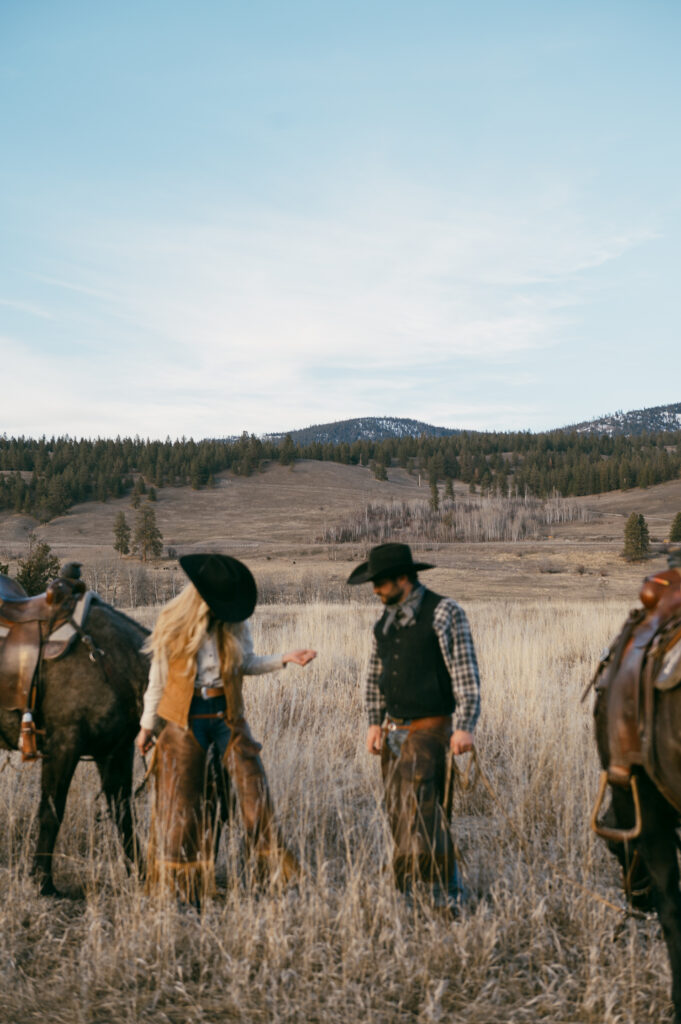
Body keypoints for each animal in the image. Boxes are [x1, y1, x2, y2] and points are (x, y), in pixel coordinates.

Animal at [0, 573, 150, 901]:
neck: (111, 660)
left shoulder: (116, 752)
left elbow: (123, 814)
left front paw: (143, 875)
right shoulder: (63, 745)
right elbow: (51, 811)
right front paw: (43, 882)